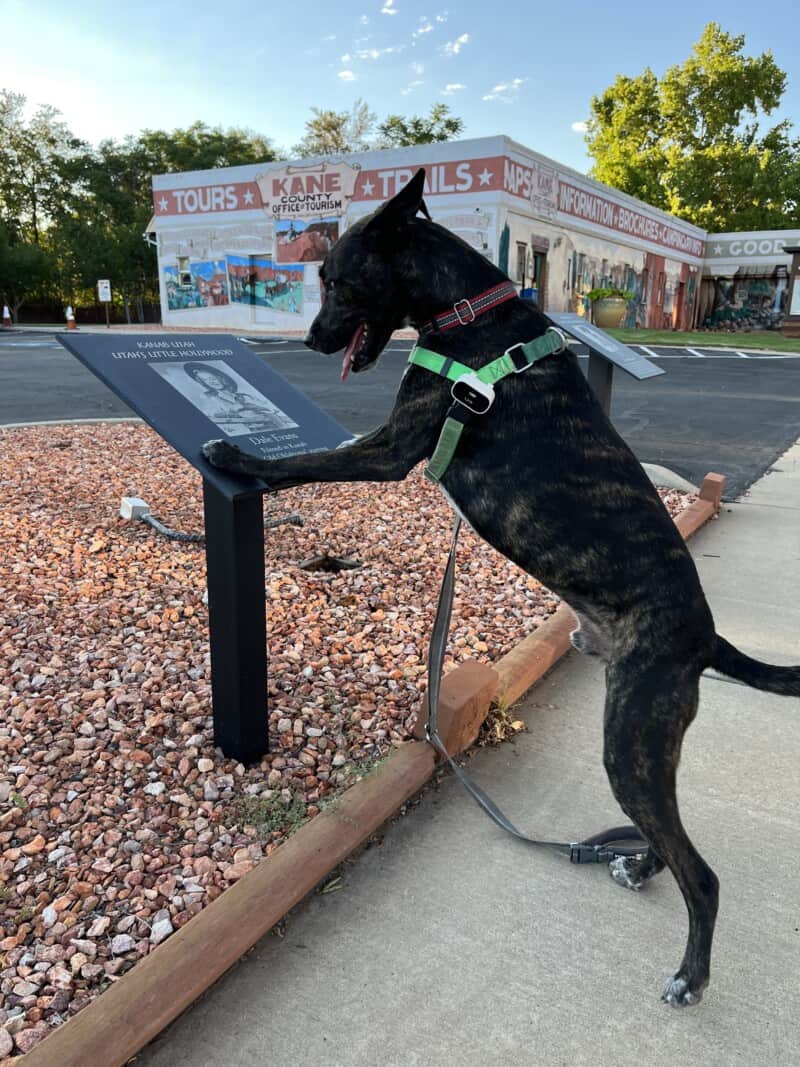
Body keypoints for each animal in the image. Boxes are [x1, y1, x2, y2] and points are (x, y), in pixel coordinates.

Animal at [203, 168, 797, 1007]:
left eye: (334, 278)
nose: (315, 340)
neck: (467, 310)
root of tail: (704, 635)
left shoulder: (389, 449)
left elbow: (304, 461)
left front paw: (236, 452)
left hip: (632, 739)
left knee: (702, 874)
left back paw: (691, 974)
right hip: (650, 745)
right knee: (670, 839)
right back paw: (638, 864)